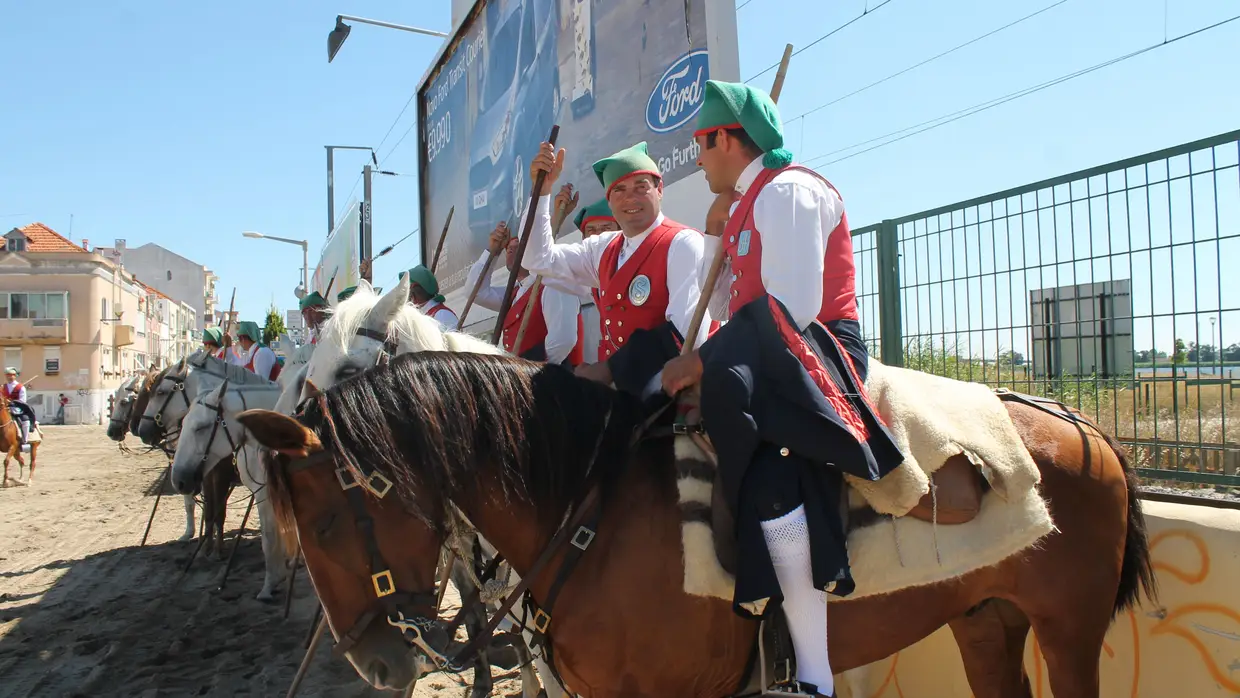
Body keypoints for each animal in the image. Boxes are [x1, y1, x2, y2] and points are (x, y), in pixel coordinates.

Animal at [239, 354, 1150, 698]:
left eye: (326, 523)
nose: (376, 664)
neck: (592, 510)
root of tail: (1084, 426)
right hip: (984, 620)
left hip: (1068, 630)